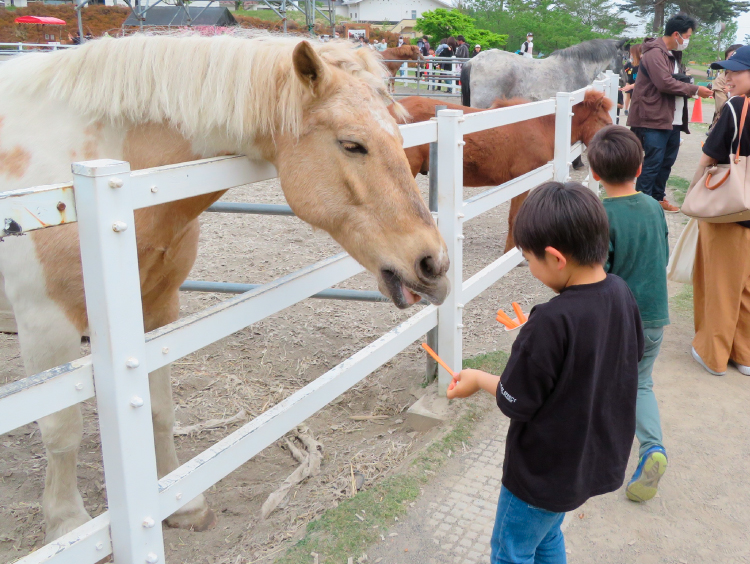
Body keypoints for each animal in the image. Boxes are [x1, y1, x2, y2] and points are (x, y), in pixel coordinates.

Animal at [0, 34, 450, 540]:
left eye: (400, 136)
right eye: (352, 144)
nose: (434, 263)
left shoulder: (156, 311)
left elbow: (158, 409)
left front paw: (183, 505)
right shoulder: (45, 323)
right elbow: (61, 428)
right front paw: (66, 524)